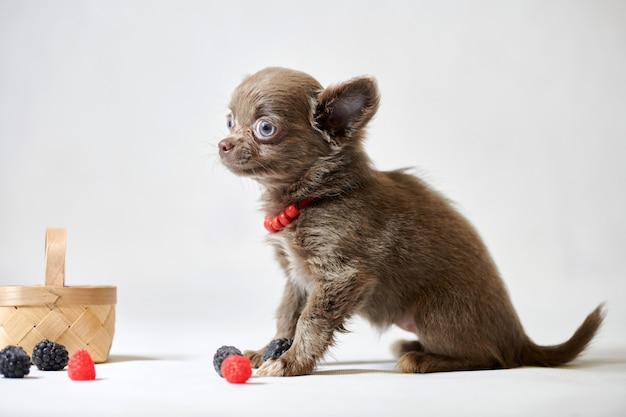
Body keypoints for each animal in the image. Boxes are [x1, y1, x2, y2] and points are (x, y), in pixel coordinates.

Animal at [217, 66, 604, 376]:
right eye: (230, 121)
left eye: (266, 128)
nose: (222, 144)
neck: (316, 194)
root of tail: (520, 339)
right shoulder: (297, 278)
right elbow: (288, 316)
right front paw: (268, 349)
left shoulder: (341, 276)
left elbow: (311, 322)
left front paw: (291, 362)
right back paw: (412, 347)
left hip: (434, 314)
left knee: (492, 357)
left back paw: (422, 359)